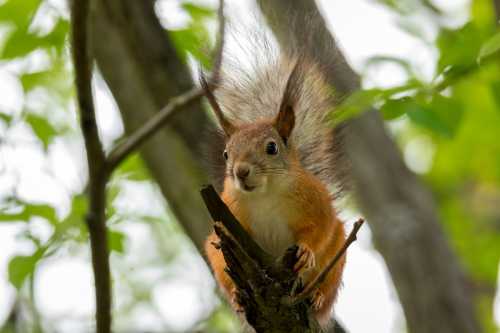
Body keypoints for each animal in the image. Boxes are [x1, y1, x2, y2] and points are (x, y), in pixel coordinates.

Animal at [201, 50, 346, 328]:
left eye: (272, 147)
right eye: (226, 154)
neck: (265, 195)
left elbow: (319, 229)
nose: (241, 171)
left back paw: (318, 297)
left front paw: (306, 252)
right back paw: (237, 296)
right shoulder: (231, 208)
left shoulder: (317, 203)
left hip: (335, 263)